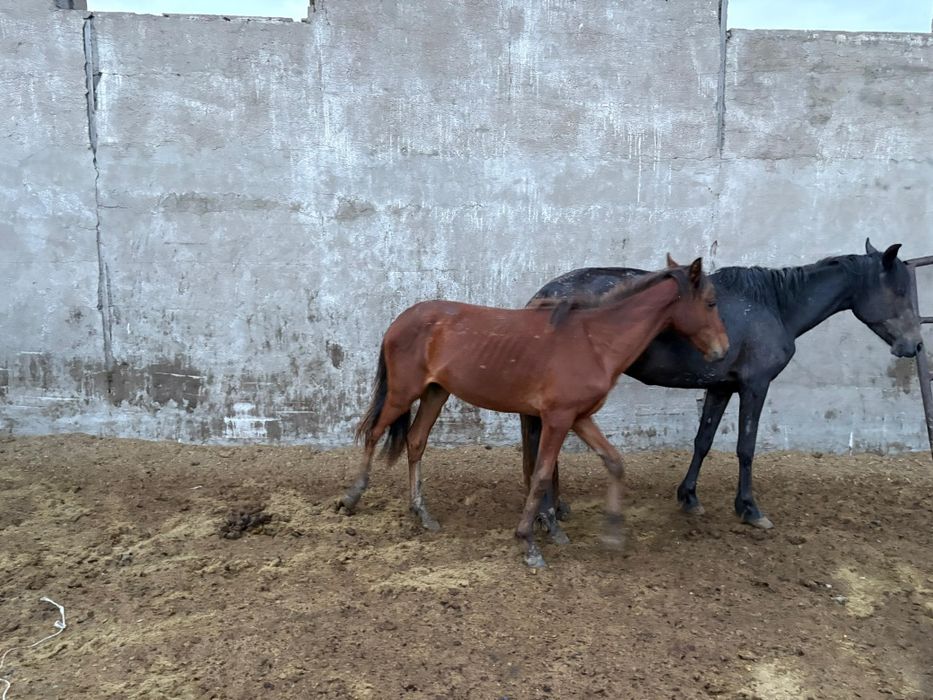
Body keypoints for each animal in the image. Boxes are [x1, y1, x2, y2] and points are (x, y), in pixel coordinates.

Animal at [338, 256, 729, 567]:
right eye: (711, 302)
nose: (722, 351)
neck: (594, 341)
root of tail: (399, 321)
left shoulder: (579, 417)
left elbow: (614, 462)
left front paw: (612, 533)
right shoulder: (557, 419)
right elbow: (541, 474)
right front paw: (529, 543)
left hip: (437, 392)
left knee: (416, 441)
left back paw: (422, 513)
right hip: (404, 393)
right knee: (373, 433)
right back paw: (351, 498)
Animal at [521, 239, 923, 543]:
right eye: (900, 291)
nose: (915, 345)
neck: (773, 306)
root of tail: (545, 294)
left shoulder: (721, 387)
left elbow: (704, 440)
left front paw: (689, 497)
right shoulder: (755, 386)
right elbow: (746, 448)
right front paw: (750, 508)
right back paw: (548, 511)